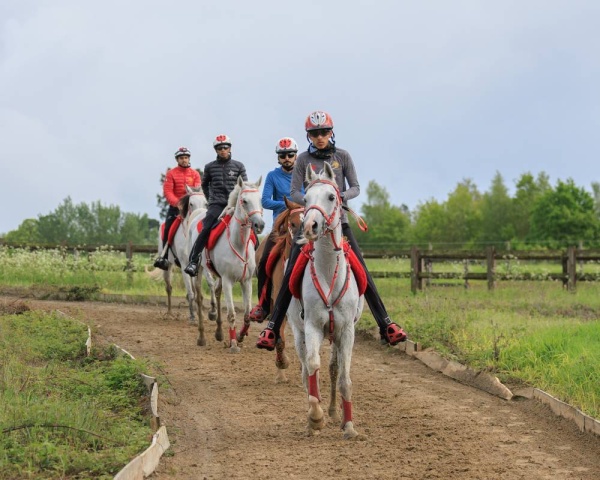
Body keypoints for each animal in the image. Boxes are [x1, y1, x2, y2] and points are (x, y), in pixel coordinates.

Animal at [156, 186, 207, 324]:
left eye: (205, 202)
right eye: (191, 204)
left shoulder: (196, 266)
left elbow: (198, 292)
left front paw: (202, 315)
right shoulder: (185, 264)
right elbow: (191, 293)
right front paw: (193, 317)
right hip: (167, 266)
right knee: (169, 288)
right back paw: (169, 313)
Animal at [198, 174, 264, 350]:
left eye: (260, 199)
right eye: (244, 201)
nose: (260, 225)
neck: (238, 244)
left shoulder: (246, 281)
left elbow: (247, 314)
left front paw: (240, 336)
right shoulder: (228, 280)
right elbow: (232, 314)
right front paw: (234, 344)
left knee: (217, 293)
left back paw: (219, 333)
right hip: (199, 272)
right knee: (198, 298)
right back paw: (202, 338)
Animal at [288, 163, 366, 440]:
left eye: (332, 196)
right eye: (306, 199)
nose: (310, 226)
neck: (328, 271)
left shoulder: (347, 330)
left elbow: (344, 377)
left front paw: (349, 426)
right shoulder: (311, 326)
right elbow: (313, 365)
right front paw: (315, 418)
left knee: (332, 368)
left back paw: (333, 412)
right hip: (298, 331)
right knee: (306, 371)